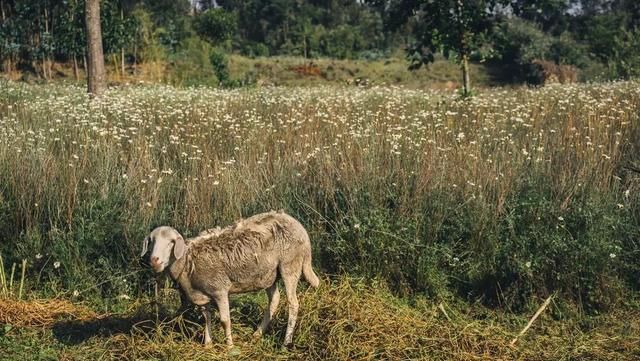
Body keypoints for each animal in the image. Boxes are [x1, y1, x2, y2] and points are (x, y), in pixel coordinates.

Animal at [141, 211, 320, 346]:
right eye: (151, 241)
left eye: (171, 243)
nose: (154, 260)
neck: (188, 261)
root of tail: (298, 226)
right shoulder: (202, 293)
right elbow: (207, 318)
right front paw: (208, 344)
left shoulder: (219, 289)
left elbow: (224, 321)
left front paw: (229, 345)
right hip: (268, 275)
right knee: (274, 299)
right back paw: (258, 333)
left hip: (290, 265)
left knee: (293, 304)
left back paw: (286, 341)